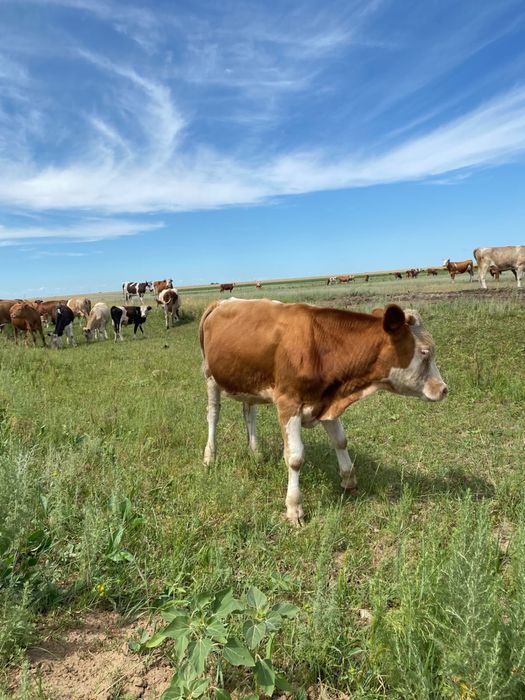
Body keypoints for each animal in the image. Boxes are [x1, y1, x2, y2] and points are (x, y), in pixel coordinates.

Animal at [200, 298, 447, 525]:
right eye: (425, 352)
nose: (444, 389)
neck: (321, 346)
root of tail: (221, 302)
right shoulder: (288, 403)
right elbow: (295, 457)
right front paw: (294, 508)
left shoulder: (328, 399)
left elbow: (340, 441)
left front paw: (349, 481)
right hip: (210, 375)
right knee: (213, 415)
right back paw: (210, 456)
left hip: (247, 381)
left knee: (248, 412)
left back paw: (255, 452)